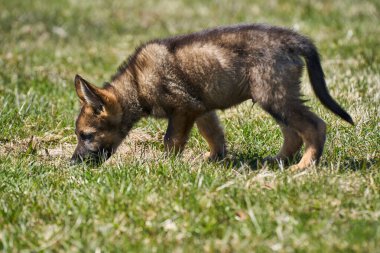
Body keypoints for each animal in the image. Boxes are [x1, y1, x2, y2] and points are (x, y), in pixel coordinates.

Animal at [71, 23, 354, 170]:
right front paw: (213, 160)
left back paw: (305, 165)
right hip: (277, 96)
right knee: (293, 134)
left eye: (87, 135)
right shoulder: (201, 109)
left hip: (274, 95)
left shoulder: (183, 110)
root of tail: (292, 39)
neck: (137, 84)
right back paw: (278, 161)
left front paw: (166, 166)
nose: (73, 163)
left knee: (315, 126)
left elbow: (171, 140)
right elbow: (214, 136)